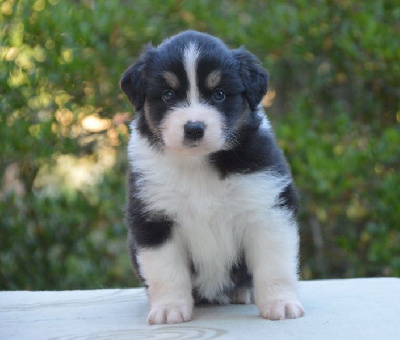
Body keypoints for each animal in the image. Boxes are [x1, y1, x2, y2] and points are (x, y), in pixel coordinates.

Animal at [120, 29, 304, 324]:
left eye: (219, 94)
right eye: (168, 95)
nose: (194, 128)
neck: (198, 164)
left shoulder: (267, 207)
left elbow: (274, 265)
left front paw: (281, 304)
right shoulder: (154, 219)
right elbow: (166, 271)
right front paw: (169, 309)